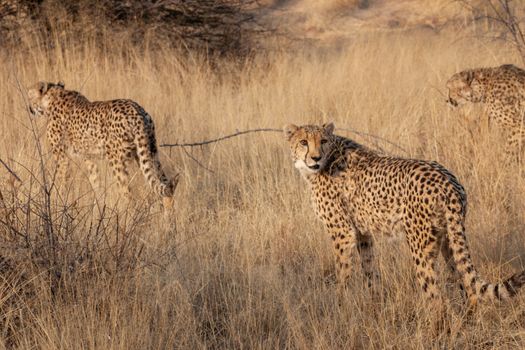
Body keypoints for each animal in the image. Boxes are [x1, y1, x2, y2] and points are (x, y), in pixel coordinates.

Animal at [27, 82, 178, 208]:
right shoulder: (88, 157)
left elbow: (62, 181)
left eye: (29, 94)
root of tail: (136, 111)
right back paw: (168, 221)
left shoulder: (61, 155)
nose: (29, 108)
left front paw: (59, 202)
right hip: (151, 152)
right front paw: (100, 205)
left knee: (128, 196)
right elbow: (95, 182)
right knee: (166, 187)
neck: (52, 98)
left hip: (117, 160)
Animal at [284, 122, 524, 306]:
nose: (315, 158)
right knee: (466, 282)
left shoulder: (342, 233)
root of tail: (448, 181)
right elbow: (369, 269)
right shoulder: (363, 233)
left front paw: (340, 305)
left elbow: (343, 273)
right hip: (449, 238)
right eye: (304, 142)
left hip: (420, 245)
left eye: (323, 141)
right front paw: (374, 302)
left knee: (436, 298)